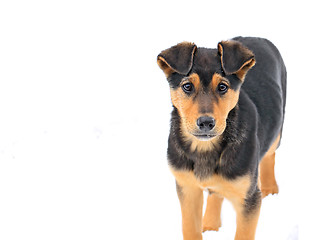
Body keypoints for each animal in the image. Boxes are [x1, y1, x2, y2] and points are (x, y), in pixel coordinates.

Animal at [157, 36, 286, 240]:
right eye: (187, 86)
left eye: (222, 87)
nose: (206, 122)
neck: (205, 147)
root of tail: (258, 37)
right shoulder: (187, 188)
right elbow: (190, 229)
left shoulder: (248, 198)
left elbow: (243, 234)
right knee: (215, 191)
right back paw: (211, 223)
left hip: (278, 130)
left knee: (270, 154)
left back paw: (270, 189)